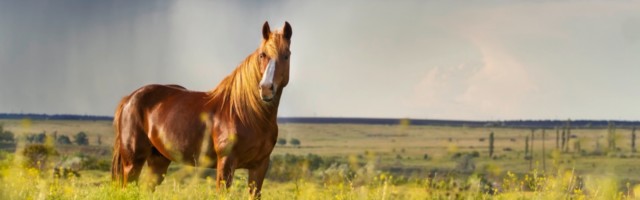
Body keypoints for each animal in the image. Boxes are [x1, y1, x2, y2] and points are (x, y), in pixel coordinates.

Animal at [112, 20, 292, 197]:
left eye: (286, 55)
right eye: (263, 55)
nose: (266, 89)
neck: (249, 115)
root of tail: (129, 99)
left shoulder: (259, 166)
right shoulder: (226, 163)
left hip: (158, 161)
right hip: (133, 163)